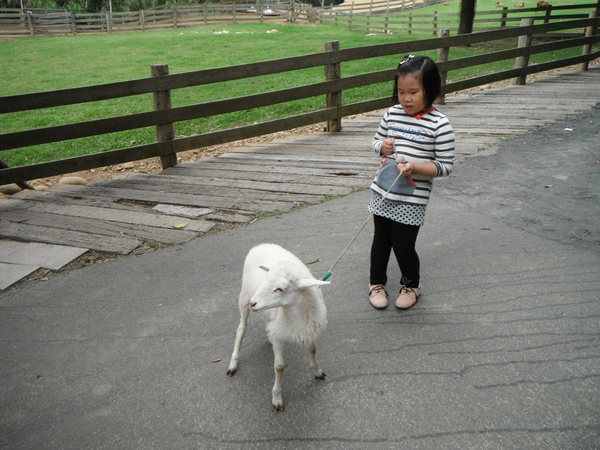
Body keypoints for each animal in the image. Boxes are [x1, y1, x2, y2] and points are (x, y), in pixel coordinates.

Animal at [226, 243, 328, 412]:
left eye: (280, 289)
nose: (253, 303)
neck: (294, 314)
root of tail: (261, 245)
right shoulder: (280, 337)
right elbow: (279, 367)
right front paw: (277, 397)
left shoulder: (308, 329)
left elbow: (313, 350)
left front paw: (317, 371)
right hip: (244, 296)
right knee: (241, 329)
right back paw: (233, 363)